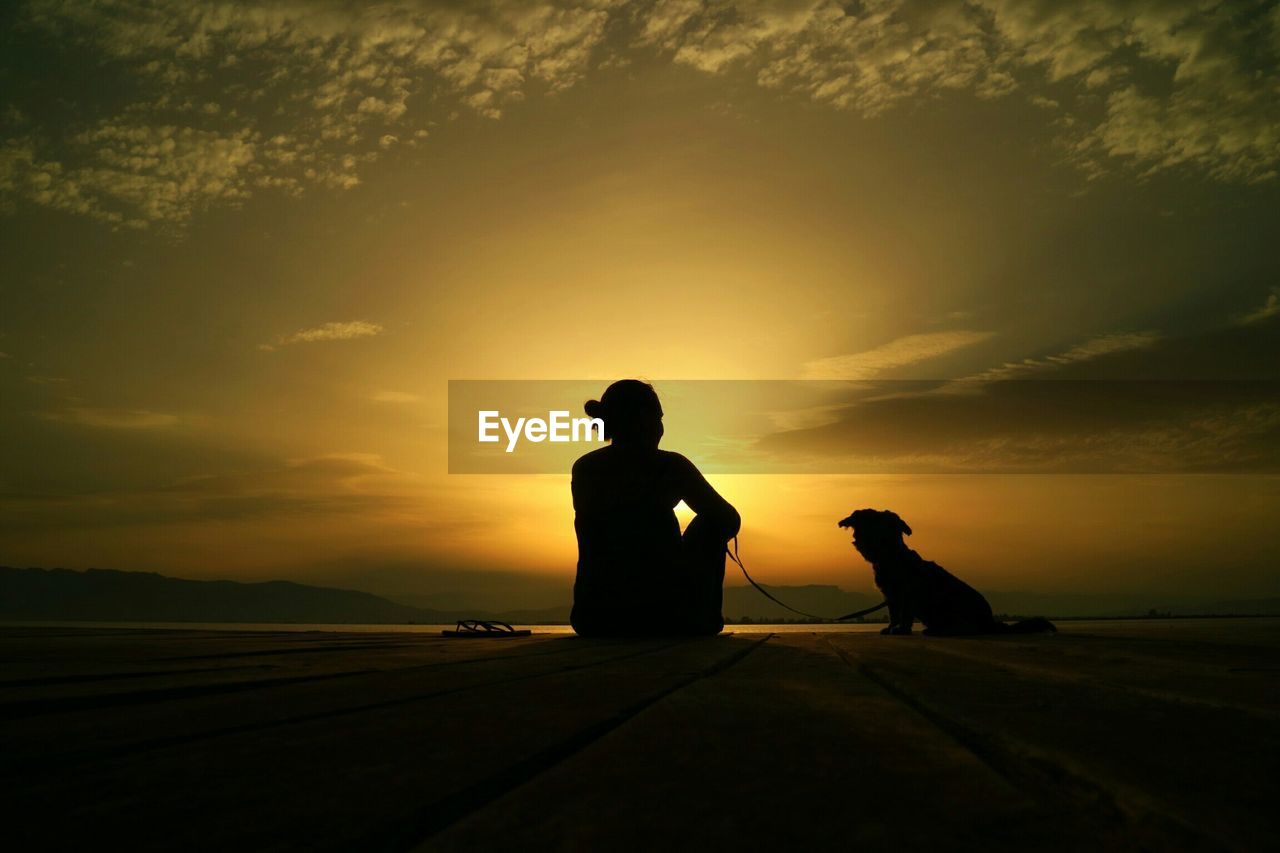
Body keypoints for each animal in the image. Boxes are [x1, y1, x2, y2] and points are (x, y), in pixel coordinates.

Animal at [834, 507, 1054, 635]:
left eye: (884, 528)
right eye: (865, 524)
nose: (864, 541)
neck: (892, 558)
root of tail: (990, 622)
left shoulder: (907, 594)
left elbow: (904, 613)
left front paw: (901, 630)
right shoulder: (891, 595)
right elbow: (893, 614)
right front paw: (891, 627)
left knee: (965, 628)